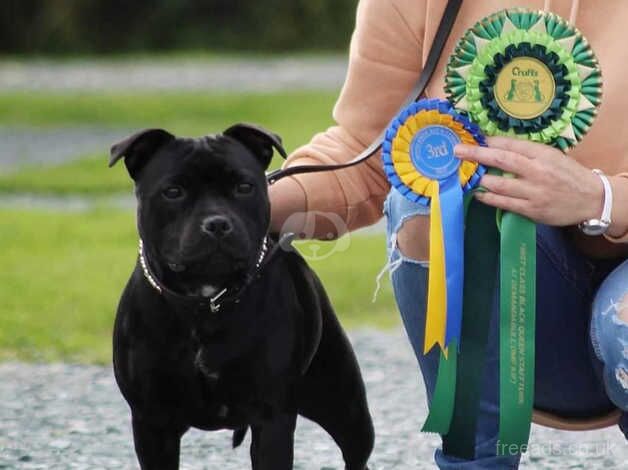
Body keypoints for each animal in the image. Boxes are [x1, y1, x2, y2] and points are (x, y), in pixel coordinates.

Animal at [109, 125, 372, 470]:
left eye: (244, 187)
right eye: (173, 191)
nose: (217, 223)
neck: (207, 301)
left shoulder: (272, 417)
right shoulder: (152, 422)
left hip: (344, 406)